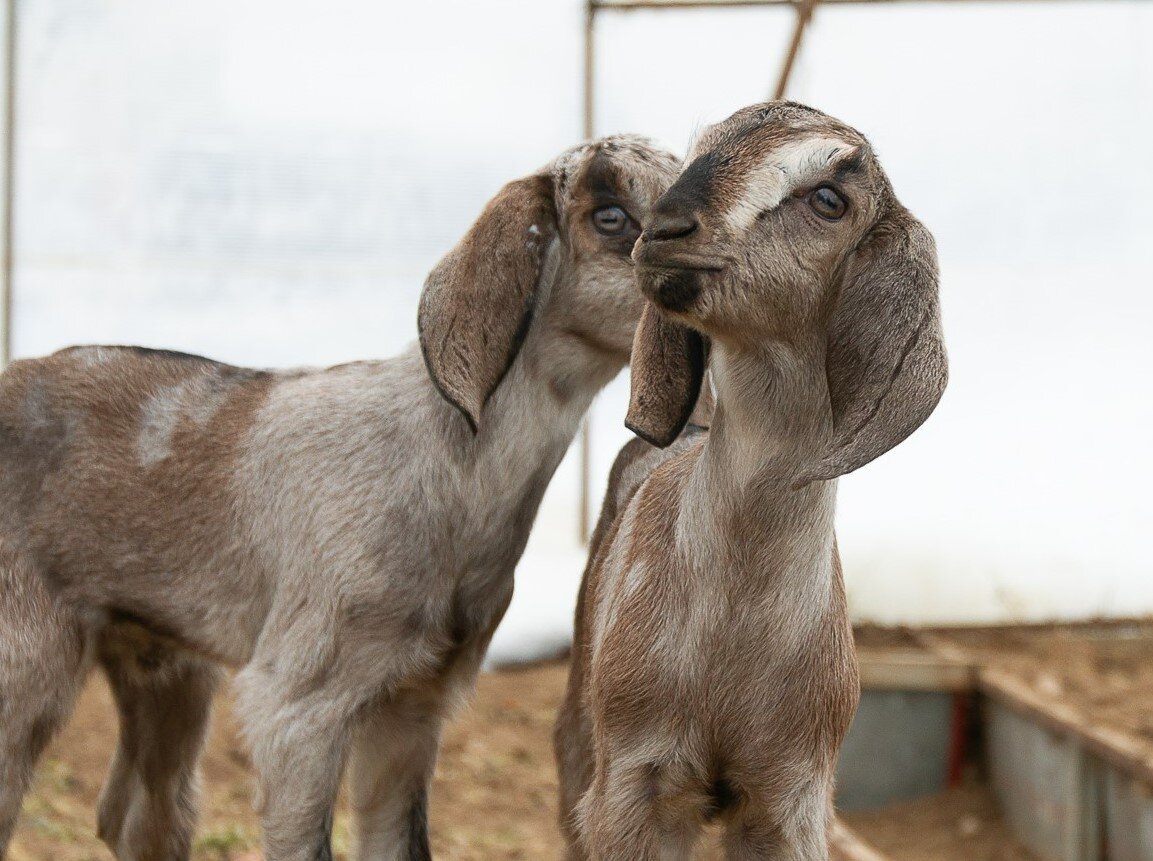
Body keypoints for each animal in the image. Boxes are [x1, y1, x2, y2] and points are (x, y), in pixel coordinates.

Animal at [0, 134, 677, 861]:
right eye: (610, 217)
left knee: (136, 813)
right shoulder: (299, 704)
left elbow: (401, 842)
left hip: (161, 659)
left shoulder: (412, 704)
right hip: (26, 655)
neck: (447, 467)